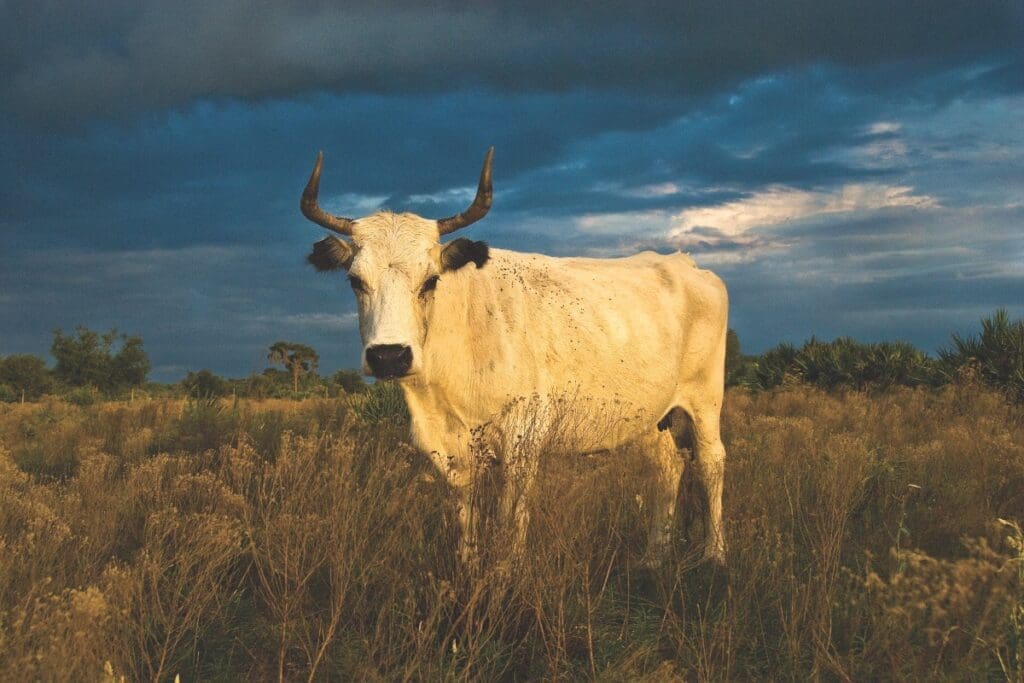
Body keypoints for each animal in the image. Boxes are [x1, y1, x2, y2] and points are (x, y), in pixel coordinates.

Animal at [299, 148, 728, 566]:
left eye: (431, 280)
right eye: (355, 281)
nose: (389, 356)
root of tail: (683, 262)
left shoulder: (524, 435)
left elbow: (511, 513)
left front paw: (509, 571)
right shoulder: (450, 446)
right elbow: (465, 509)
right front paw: (468, 565)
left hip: (705, 399)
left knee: (712, 462)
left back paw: (716, 554)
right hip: (650, 413)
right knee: (667, 467)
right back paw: (655, 555)